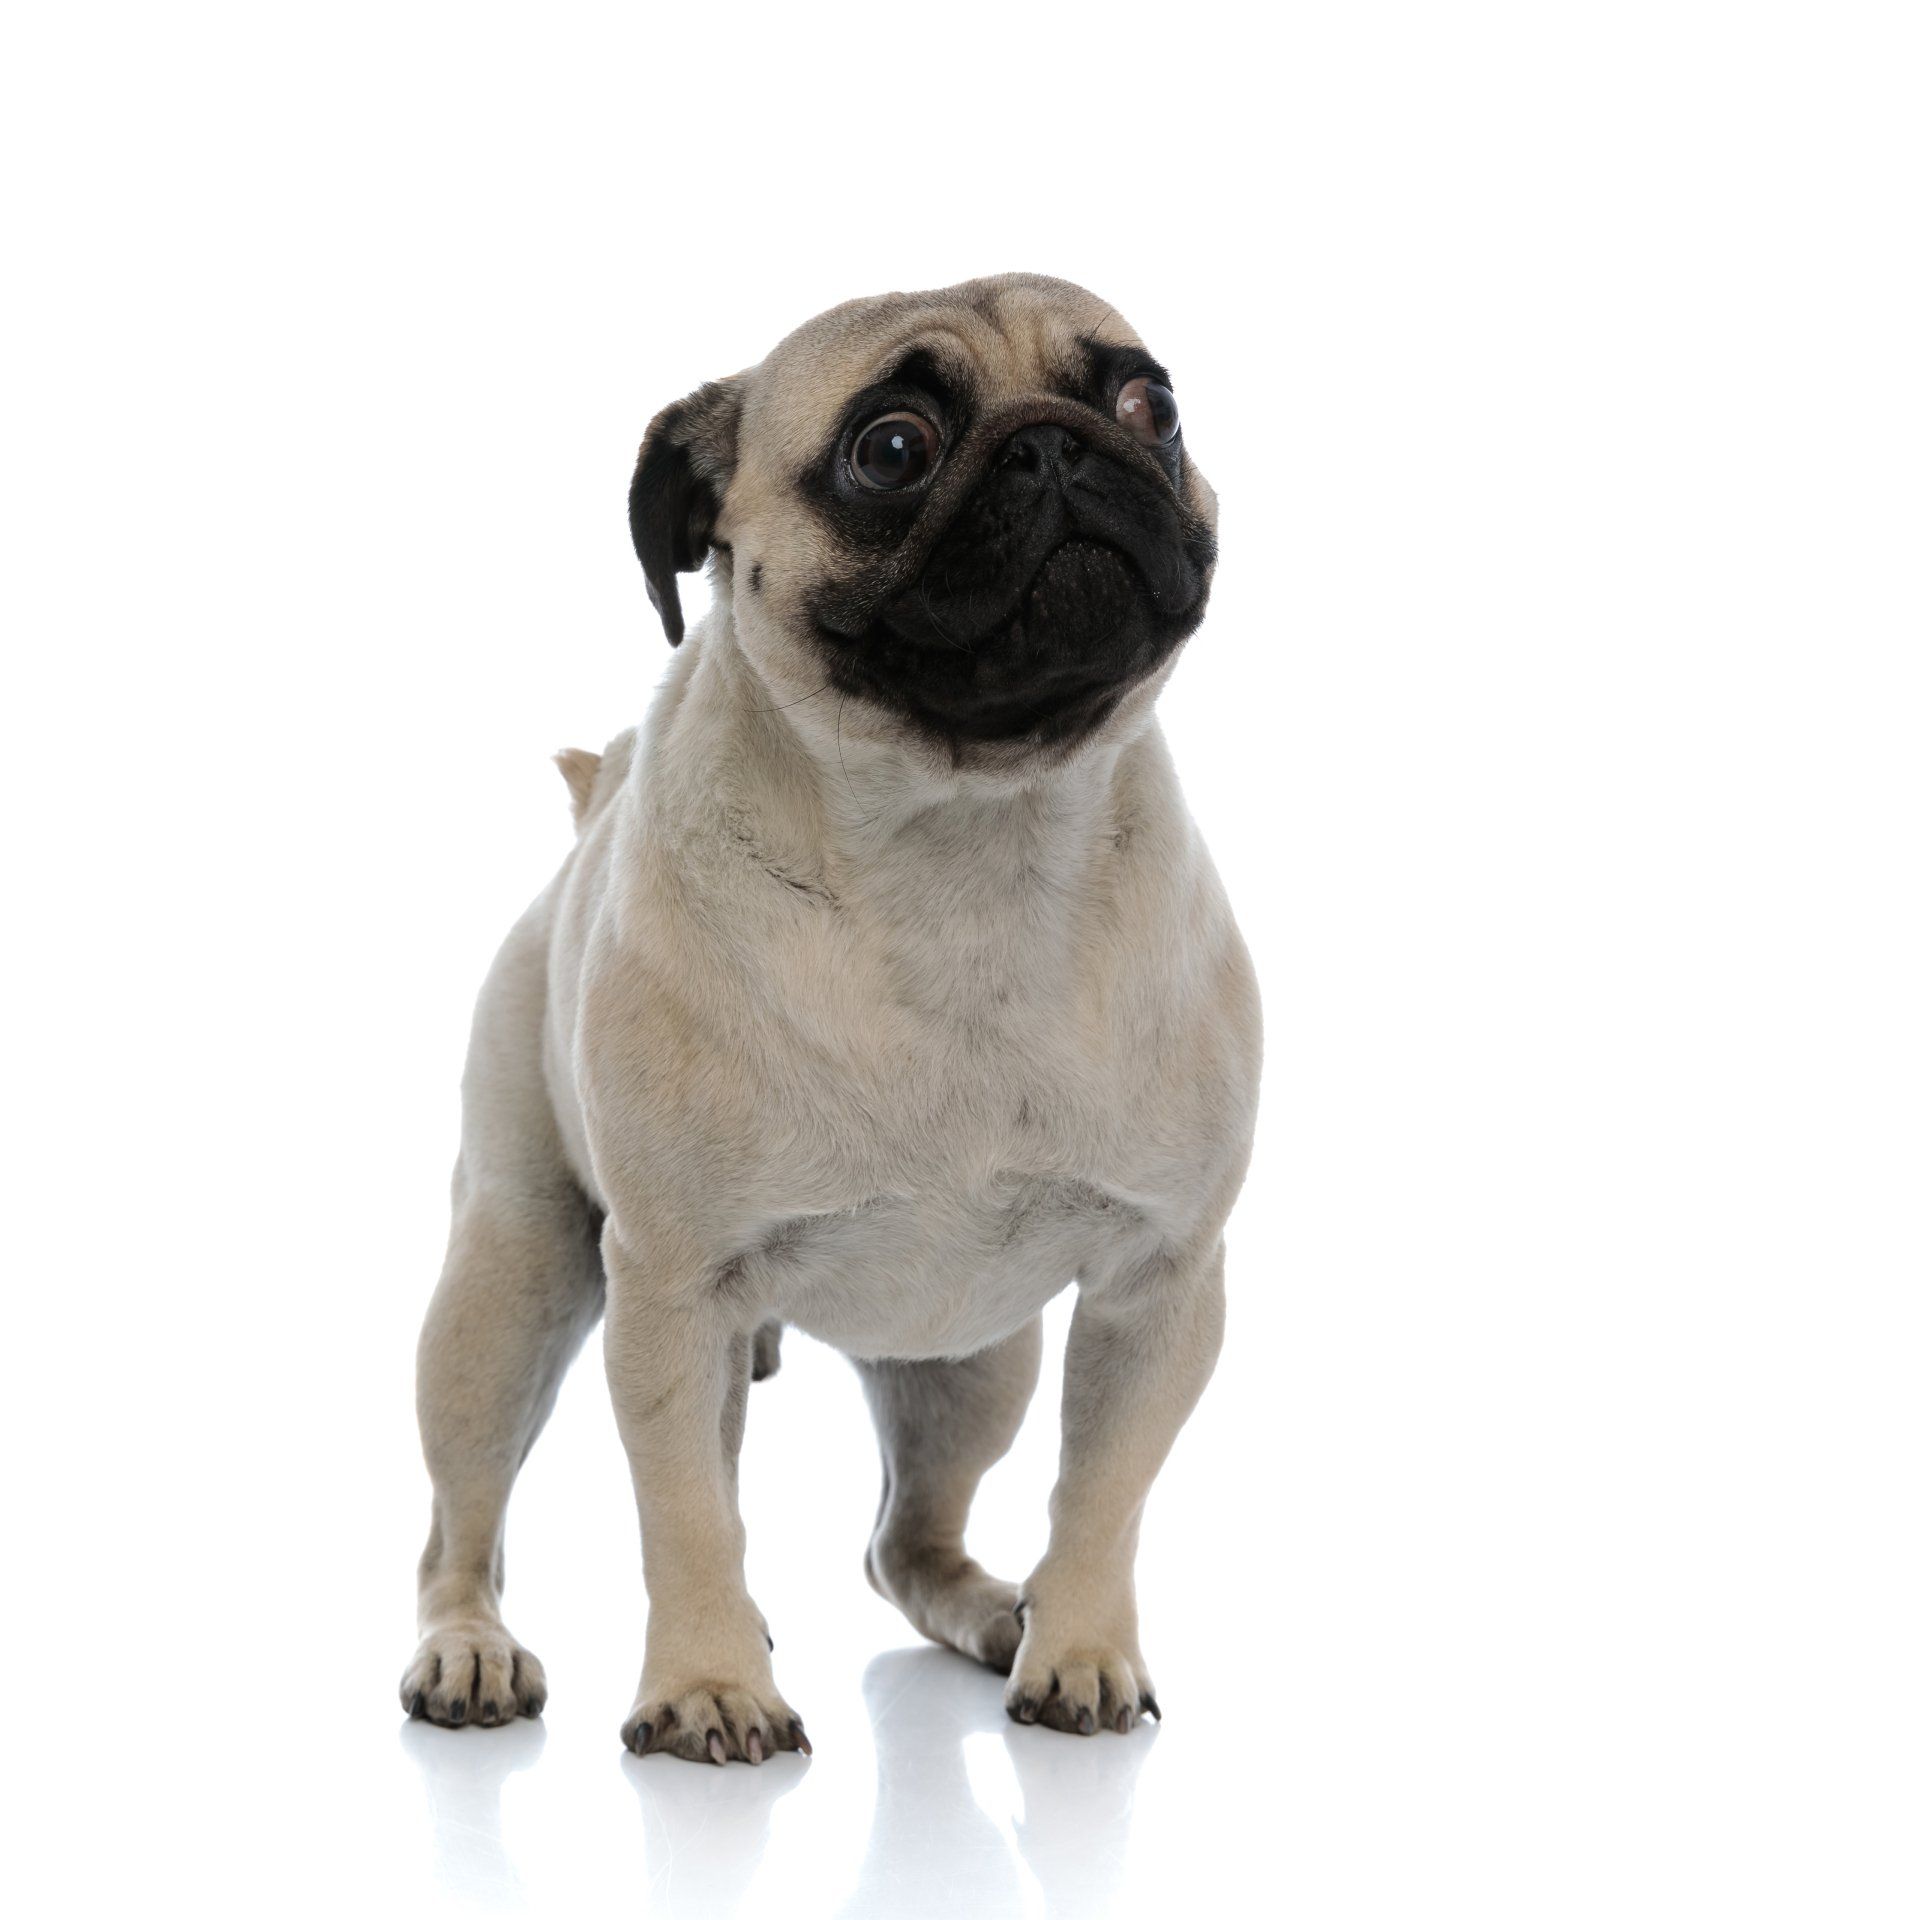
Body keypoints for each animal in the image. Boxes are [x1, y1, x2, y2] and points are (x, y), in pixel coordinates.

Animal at [401, 274, 1259, 1766]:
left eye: (1151, 404)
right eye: (892, 448)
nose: (1058, 446)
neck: (965, 840)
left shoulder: (1161, 1284)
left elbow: (1102, 1496)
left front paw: (1083, 1647)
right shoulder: (672, 1292)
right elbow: (684, 1514)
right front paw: (703, 1686)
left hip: (970, 1370)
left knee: (904, 1544)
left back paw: (999, 1616)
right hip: (507, 1290)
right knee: (468, 1529)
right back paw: (472, 1651)